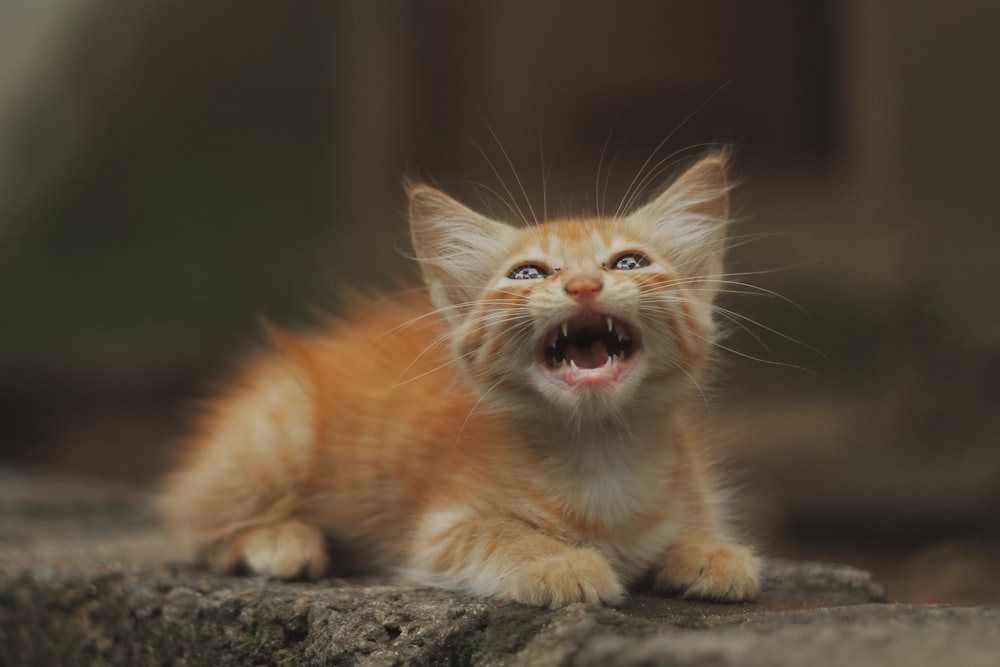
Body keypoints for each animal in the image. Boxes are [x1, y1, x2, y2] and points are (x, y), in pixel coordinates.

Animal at [162, 154, 756, 608]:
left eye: (629, 262)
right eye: (528, 273)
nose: (584, 285)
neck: (600, 452)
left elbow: (694, 530)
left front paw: (714, 552)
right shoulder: (440, 530)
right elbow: (500, 536)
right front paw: (563, 565)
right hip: (278, 436)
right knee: (193, 528)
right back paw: (282, 539)